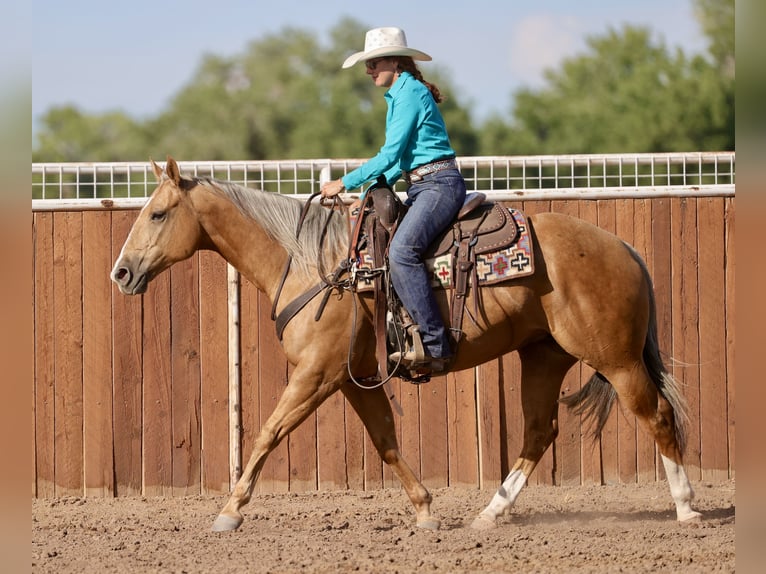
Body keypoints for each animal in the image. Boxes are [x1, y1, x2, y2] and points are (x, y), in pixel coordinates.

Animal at [111, 157, 702, 532]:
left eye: (158, 213)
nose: (121, 272)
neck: (316, 265)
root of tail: (623, 245)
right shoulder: (353, 378)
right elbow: (386, 439)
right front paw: (424, 510)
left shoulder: (316, 374)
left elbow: (268, 433)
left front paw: (230, 511)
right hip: (543, 354)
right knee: (539, 431)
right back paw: (490, 513)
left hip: (616, 357)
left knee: (655, 414)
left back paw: (687, 507)